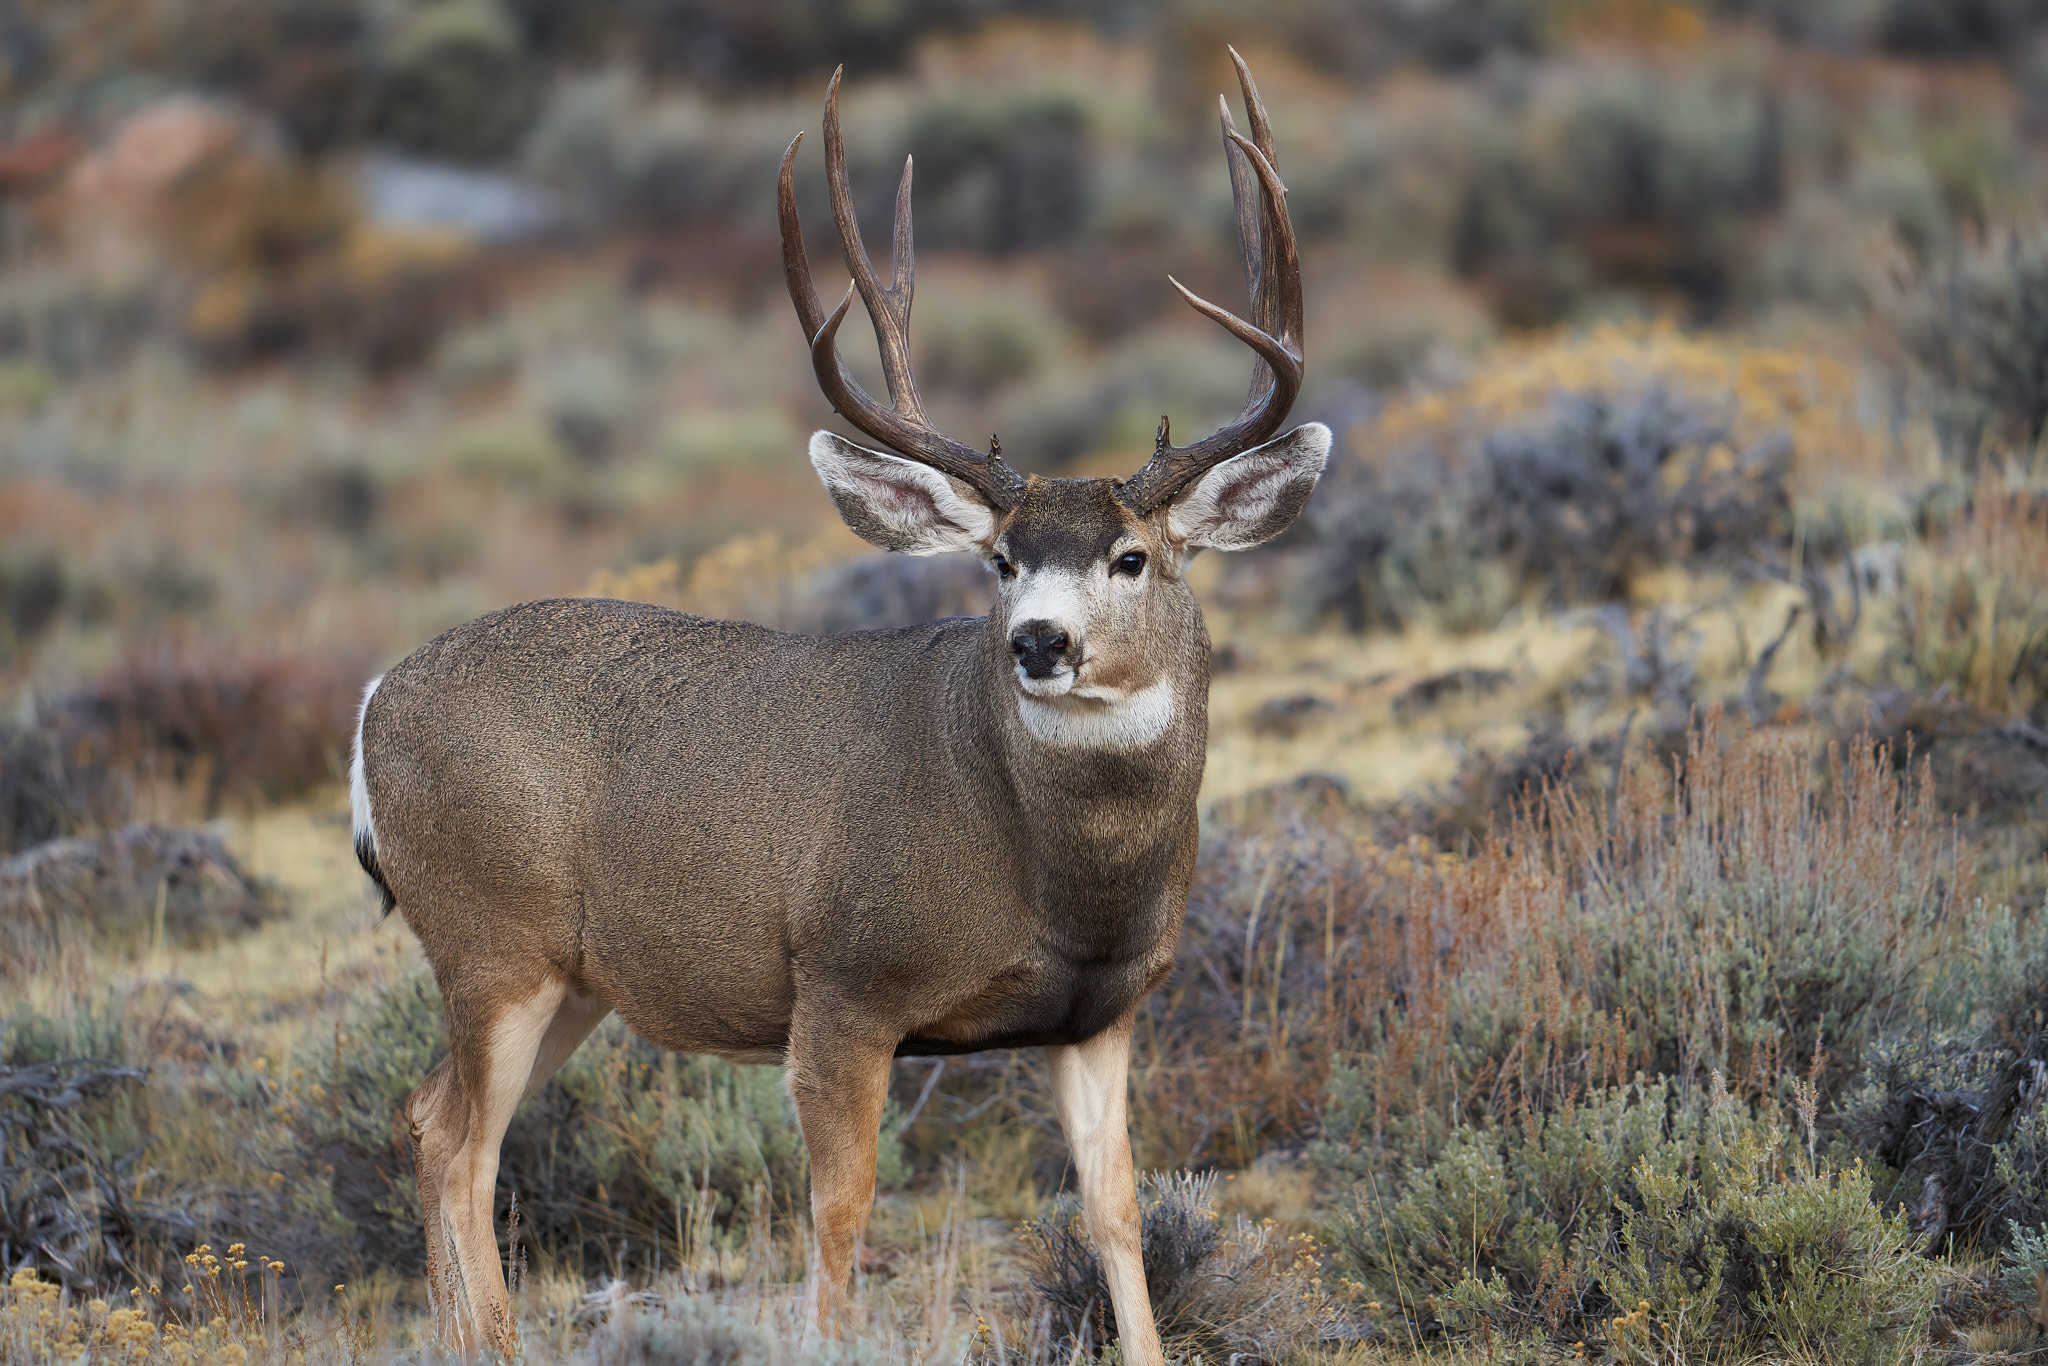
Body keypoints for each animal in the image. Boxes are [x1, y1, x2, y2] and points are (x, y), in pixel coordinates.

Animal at [347, 48, 1323, 1363]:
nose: (1037, 642)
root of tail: (369, 703)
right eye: (1000, 559)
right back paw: (492, 1340)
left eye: (1131, 556)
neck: (1052, 876)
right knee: (459, 1140)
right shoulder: (845, 984)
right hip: (490, 934)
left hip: (571, 978)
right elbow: (841, 1214)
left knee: (426, 1117)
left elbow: (1117, 1212)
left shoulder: (1097, 1014)